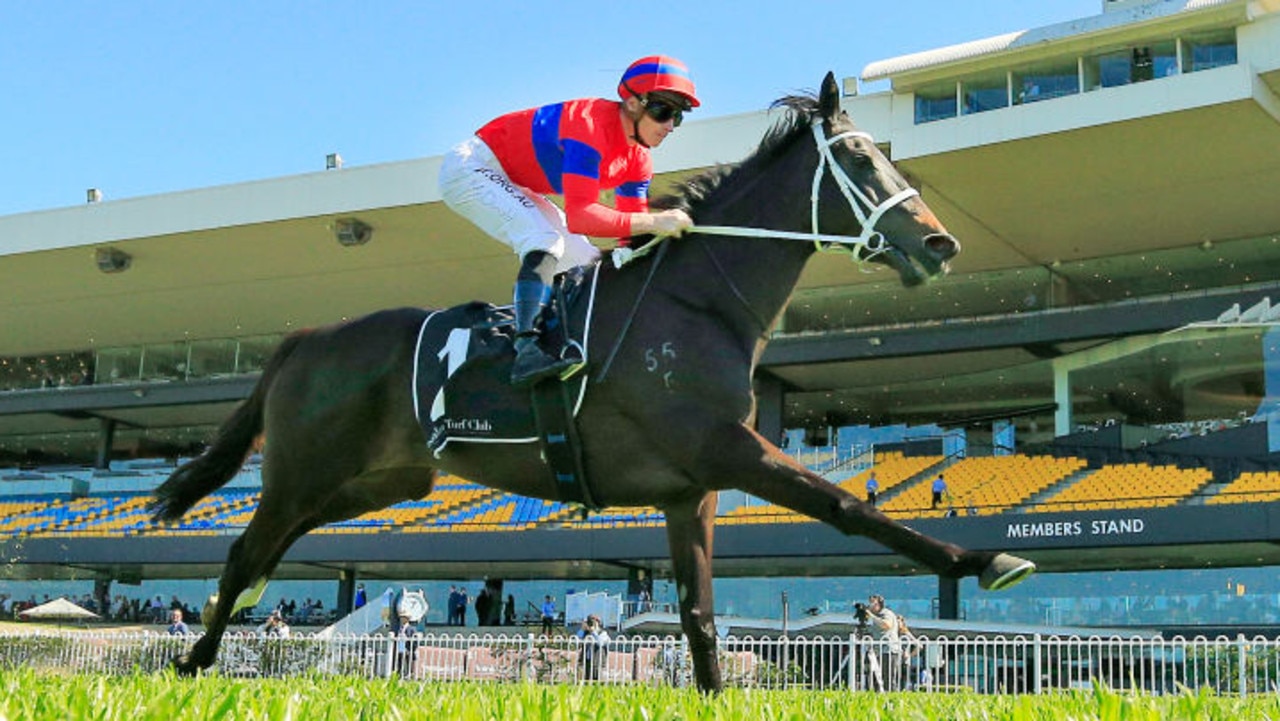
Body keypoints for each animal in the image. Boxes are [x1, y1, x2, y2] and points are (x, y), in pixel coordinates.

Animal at [149, 73, 1034, 691]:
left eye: (888, 154)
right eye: (856, 157)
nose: (940, 243)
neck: (697, 302)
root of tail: (305, 338)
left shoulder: (691, 489)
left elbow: (700, 611)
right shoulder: (727, 448)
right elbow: (848, 505)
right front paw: (983, 558)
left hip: (379, 482)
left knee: (268, 552)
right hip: (306, 468)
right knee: (243, 552)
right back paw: (192, 662)